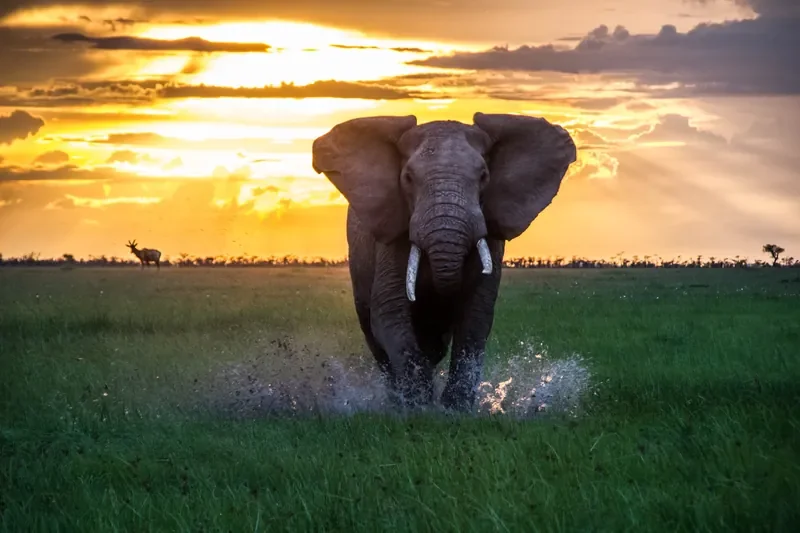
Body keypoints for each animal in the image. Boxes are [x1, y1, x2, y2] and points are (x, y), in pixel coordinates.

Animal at [311, 112, 577, 411]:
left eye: (484, 176)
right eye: (407, 178)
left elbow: (476, 315)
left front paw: (454, 409)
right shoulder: (392, 233)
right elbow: (389, 311)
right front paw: (419, 406)